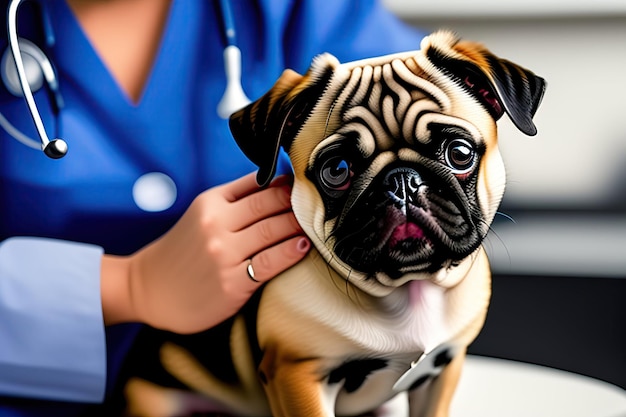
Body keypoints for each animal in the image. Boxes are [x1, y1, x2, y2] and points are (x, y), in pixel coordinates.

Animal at [122, 30, 540, 416]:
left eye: (460, 153)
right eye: (337, 170)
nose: (402, 181)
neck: (408, 289)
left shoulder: (442, 370)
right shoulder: (298, 377)